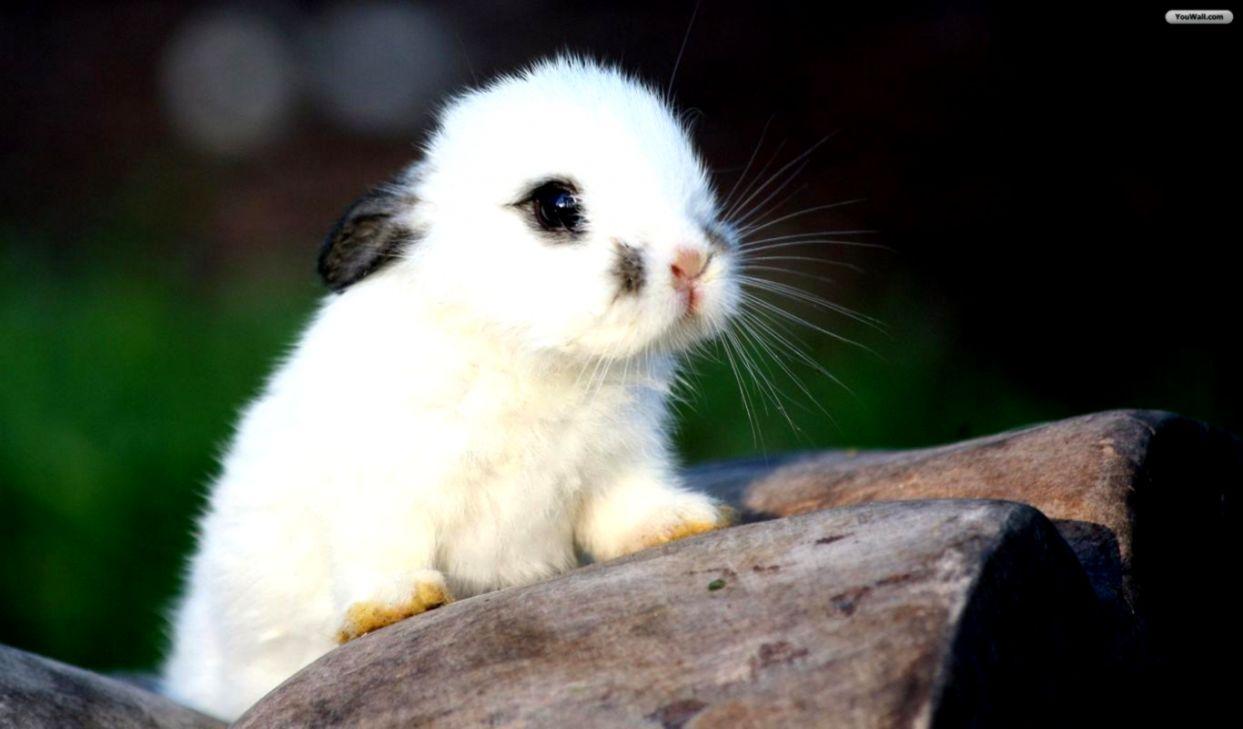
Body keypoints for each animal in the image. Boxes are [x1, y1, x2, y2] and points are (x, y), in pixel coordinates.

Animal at [160, 56, 742, 720]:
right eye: (556, 204)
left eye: (695, 180)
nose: (692, 262)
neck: (526, 356)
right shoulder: (380, 489)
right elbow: (382, 551)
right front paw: (396, 606)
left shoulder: (619, 466)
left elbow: (627, 513)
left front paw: (684, 523)